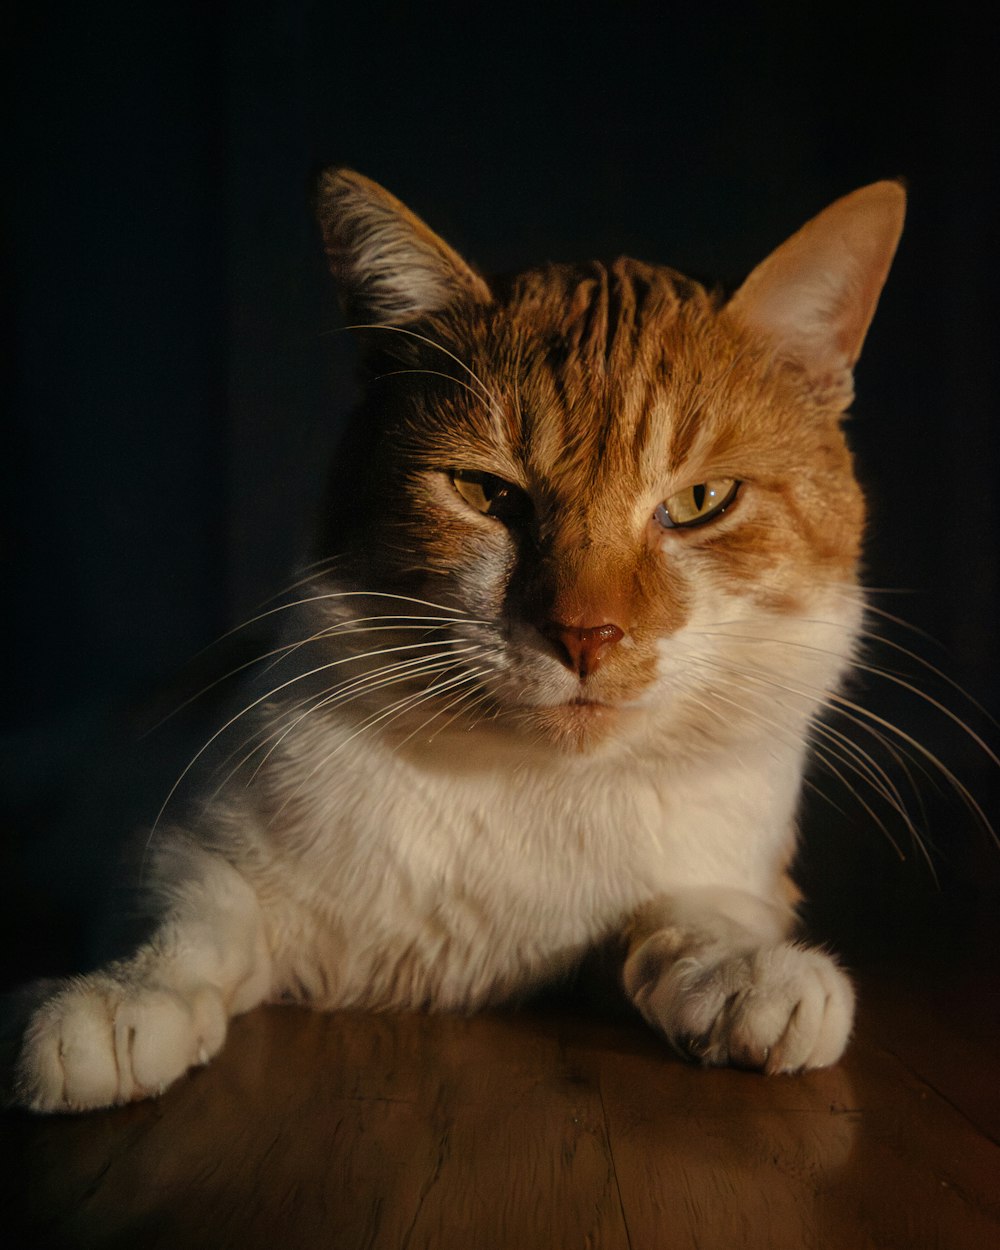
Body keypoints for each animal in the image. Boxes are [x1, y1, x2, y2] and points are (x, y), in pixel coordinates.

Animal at [13, 168, 905, 1115]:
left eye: (701, 501)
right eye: (486, 492)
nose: (586, 634)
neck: (532, 788)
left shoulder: (732, 870)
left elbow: (695, 913)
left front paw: (746, 971)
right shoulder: (185, 838)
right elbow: (188, 917)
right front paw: (118, 997)